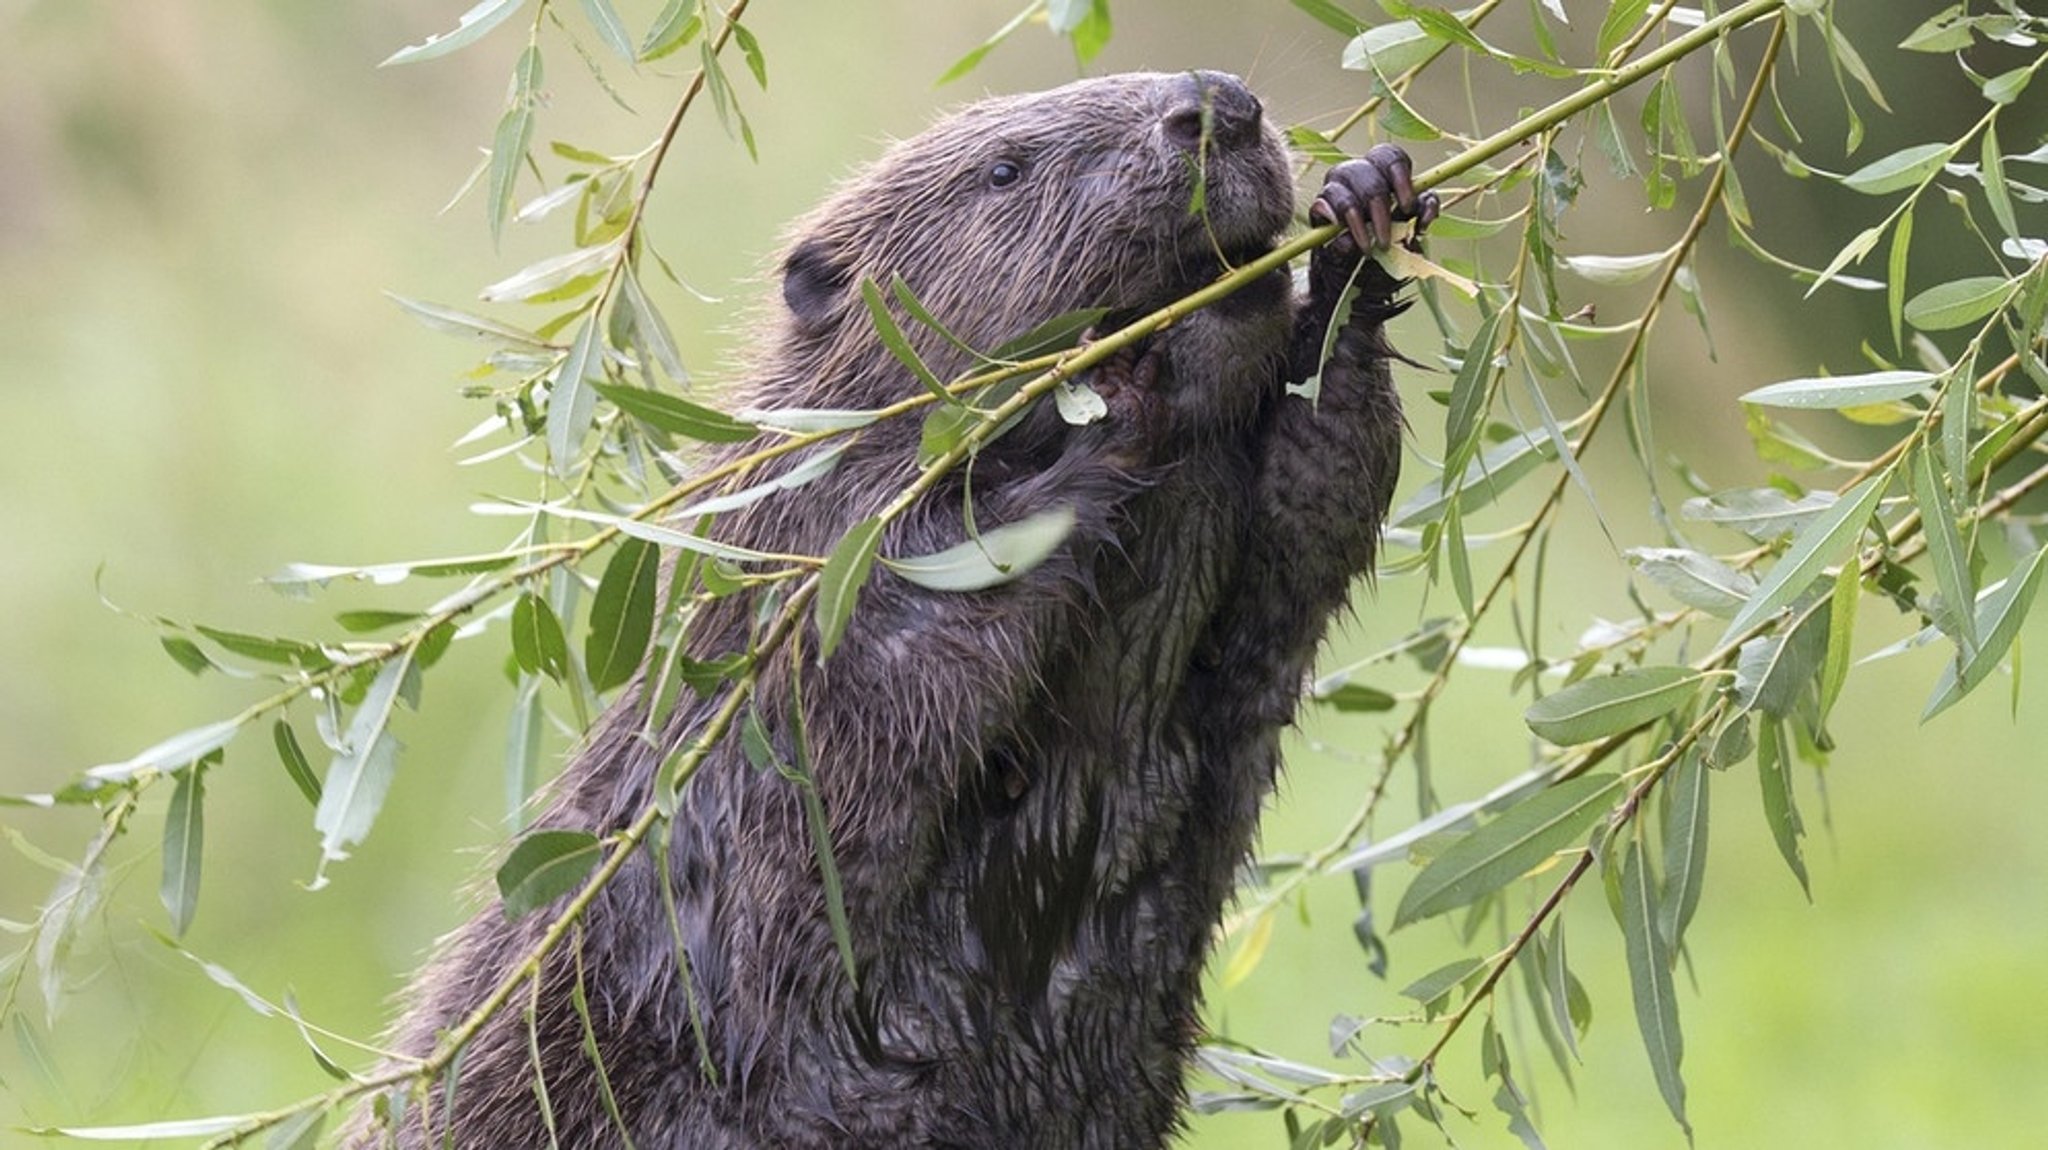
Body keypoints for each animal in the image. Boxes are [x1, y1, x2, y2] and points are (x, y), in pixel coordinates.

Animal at [352, 71, 1433, 1145]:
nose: (1219, 104)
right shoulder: (806, 567)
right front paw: (1108, 394)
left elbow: (1312, 518)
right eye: (1005, 169)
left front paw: (1359, 210)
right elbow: (881, 682)